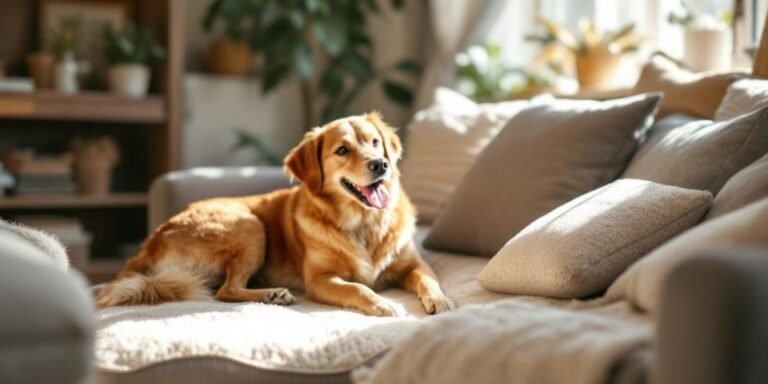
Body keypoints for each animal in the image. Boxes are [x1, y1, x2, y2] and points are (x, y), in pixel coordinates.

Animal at [96, 112, 456, 316]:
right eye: (342, 150)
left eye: (375, 142)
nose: (380, 165)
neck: (364, 223)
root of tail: (151, 241)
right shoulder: (320, 280)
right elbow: (358, 288)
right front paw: (383, 303)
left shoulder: (413, 264)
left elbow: (427, 279)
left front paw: (440, 299)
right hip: (249, 227)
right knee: (225, 290)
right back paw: (273, 293)